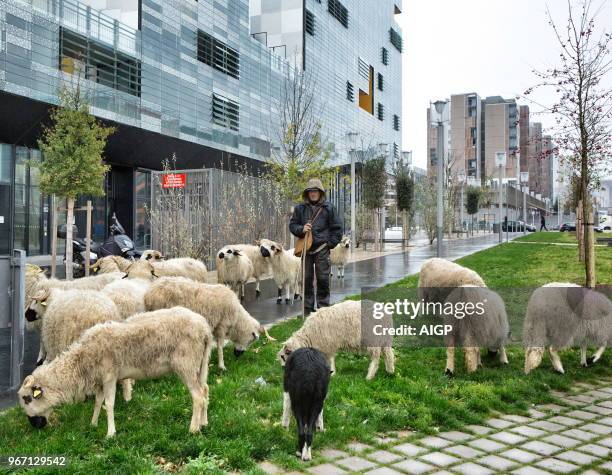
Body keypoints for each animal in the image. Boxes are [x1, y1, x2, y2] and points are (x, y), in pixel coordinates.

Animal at [17, 308, 213, 438]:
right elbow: (98, 402)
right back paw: (204, 423)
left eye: (28, 398)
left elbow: (109, 404)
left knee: (197, 397)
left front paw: (110, 433)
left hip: (186, 363)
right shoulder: (100, 380)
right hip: (200, 364)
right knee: (205, 390)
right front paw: (93, 424)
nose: (35, 425)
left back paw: (193, 429)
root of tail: (204, 328)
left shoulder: (110, 376)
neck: (82, 361)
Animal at [145, 276, 274, 372]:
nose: (238, 355)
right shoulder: (222, 326)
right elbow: (220, 346)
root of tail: (150, 293)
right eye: (251, 341)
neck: (237, 319)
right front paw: (222, 366)